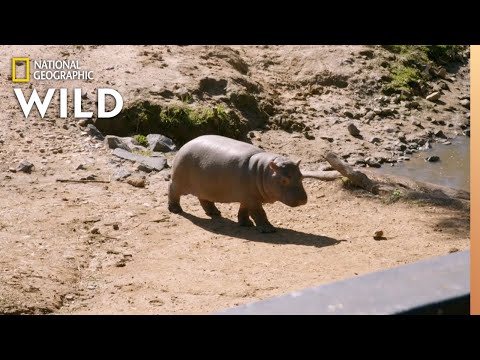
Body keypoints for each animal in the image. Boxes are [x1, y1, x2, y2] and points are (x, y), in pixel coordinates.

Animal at [167, 134, 308, 232]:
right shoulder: (252, 199)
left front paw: (246, 224)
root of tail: (185, 145)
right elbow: (259, 213)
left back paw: (215, 213)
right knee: (172, 190)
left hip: (204, 186)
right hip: (179, 181)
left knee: (204, 199)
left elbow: (244, 210)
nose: (303, 200)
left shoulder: (246, 197)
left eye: (301, 177)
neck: (264, 171)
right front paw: (269, 229)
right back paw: (175, 210)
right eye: (284, 180)